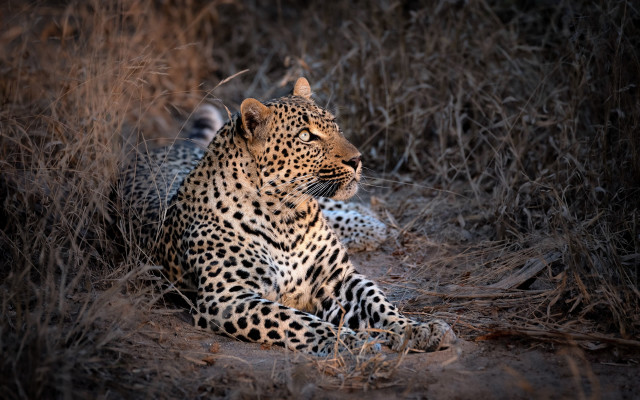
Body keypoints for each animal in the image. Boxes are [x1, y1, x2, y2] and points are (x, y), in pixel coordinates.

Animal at [122, 77, 456, 356]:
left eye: (336, 127)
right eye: (306, 136)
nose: (357, 160)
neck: (286, 217)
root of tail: (163, 150)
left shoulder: (337, 280)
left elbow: (379, 303)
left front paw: (419, 329)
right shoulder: (228, 298)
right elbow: (298, 321)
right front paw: (354, 342)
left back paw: (370, 225)